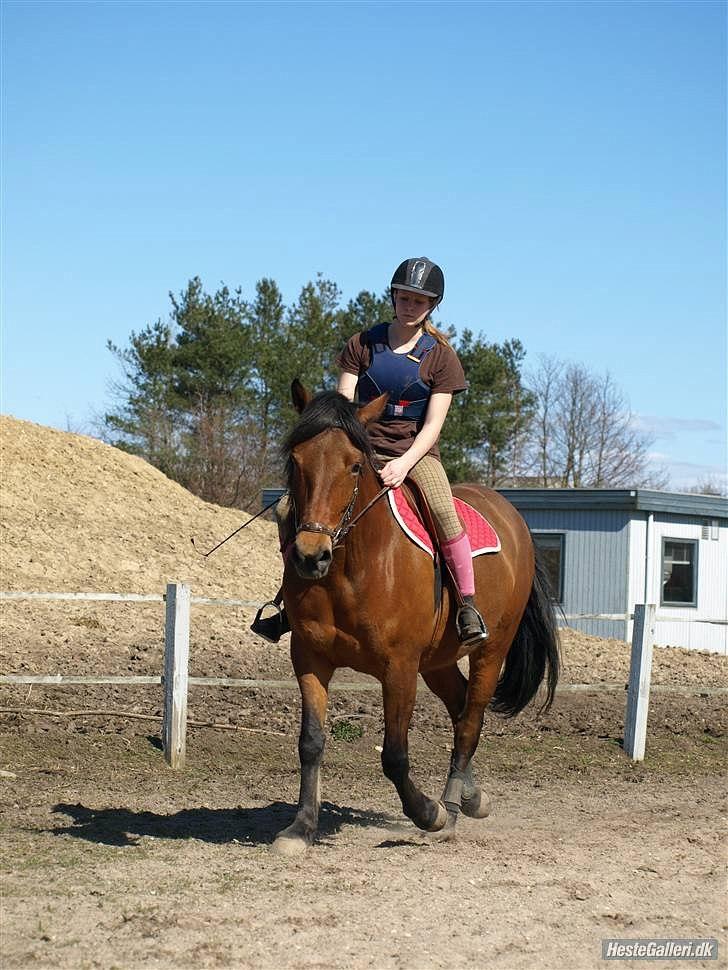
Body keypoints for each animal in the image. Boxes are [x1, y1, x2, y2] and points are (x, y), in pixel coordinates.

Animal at [270, 382, 560, 852]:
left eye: (355, 466)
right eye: (296, 461)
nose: (311, 557)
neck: (350, 568)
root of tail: (512, 515)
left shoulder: (399, 667)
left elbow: (394, 754)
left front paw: (429, 814)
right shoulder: (310, 657)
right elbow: (311, 742)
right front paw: (301, 828)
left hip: (490, 650)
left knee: (470, 721)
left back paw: (453, 807)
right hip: (437, 662)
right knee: (459, 708)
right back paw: (472, 797)